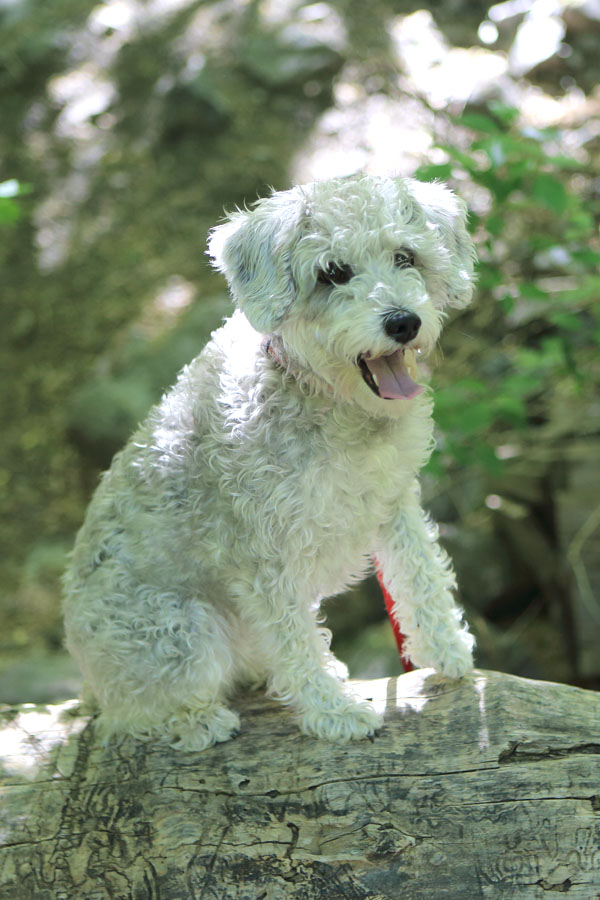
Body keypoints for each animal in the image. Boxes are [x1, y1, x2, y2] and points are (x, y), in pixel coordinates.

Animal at [63, 176, 478, 752]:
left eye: (405, 256)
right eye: (332, 273)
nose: (404, 322)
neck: (329, 401)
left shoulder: (393, 503)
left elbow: (421, 575)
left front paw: (447, 650)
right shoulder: (263, 558)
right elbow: (295, 640)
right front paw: (333, 712)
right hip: (182, 630)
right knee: (131, 714)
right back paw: (195, 721)